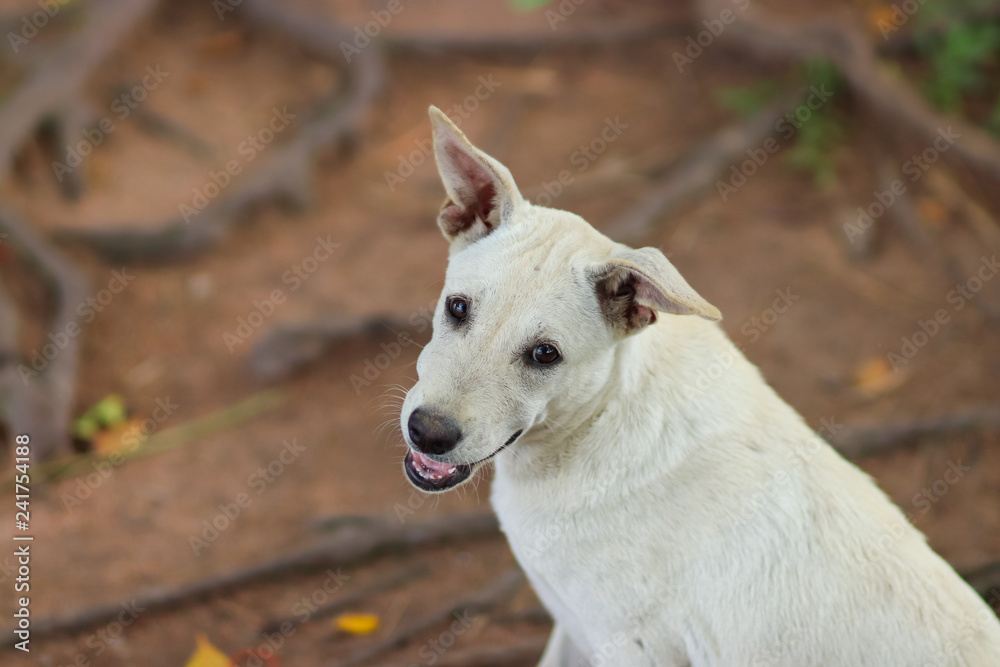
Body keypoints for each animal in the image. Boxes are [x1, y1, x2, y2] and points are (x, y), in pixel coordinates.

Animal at [398, 107, 1000, 664]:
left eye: (546, 354)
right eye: (457, 308)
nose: (428, 432)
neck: (597, 422)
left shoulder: (630, 647)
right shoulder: (572, 626)